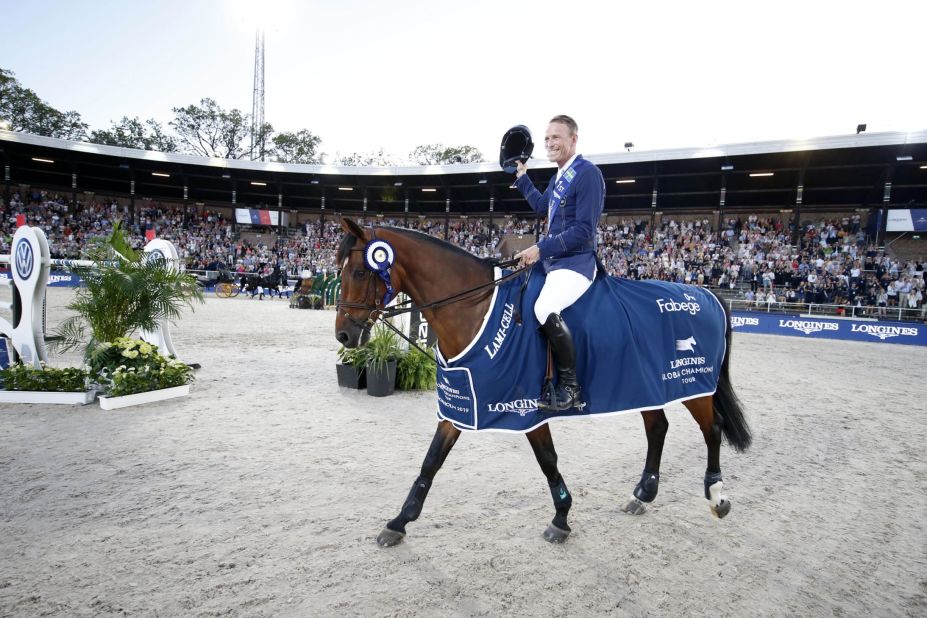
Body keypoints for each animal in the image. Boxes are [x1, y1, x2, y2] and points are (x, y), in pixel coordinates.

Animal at [338, 217, 752, 544]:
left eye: (359, 272)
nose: (344, 335)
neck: (477, 307)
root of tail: (707, 294)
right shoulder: (465, 401)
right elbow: (431, 461)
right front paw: (399, 522)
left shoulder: (523, 406)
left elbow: (547, 459)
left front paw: (561, 518)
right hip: (644, 383)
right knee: (658, 427)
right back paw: (643, 494)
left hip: (694, 387)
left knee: (712, 428)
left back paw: (716, 495)